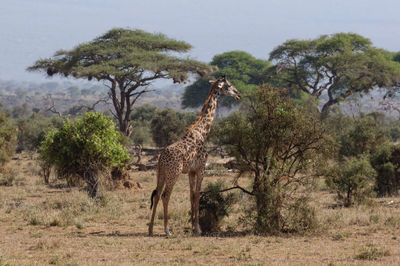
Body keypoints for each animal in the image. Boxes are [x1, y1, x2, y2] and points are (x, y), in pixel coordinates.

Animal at [148, 76, 239, 236]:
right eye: (228, 86)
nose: (238, 94)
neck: (203, 132)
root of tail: (161, 159)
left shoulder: (191, 171)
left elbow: (191, 194)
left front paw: (192, 227)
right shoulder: (201, 168)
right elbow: (197, 194)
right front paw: (198, 229)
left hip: (161, 173)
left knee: (157, 195)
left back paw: (151, 229)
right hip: (174, 174)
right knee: (166, 196)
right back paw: (167, 230)